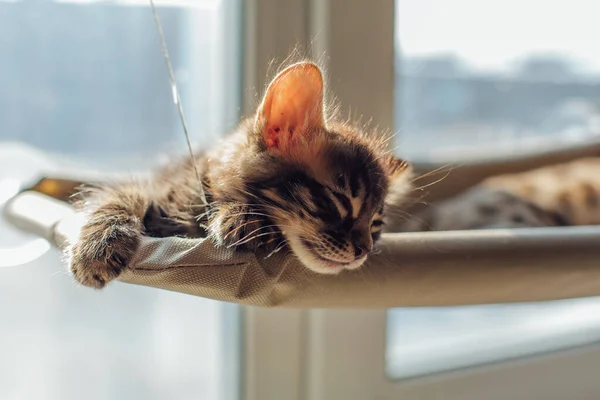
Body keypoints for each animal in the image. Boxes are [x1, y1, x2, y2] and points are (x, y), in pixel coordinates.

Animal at [68, 61, 410, 290]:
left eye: (376, 224)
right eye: (339, 201)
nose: (365, 250)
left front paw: (242, 220)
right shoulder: (153, 185)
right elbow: (118, 198)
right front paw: (96, 250)